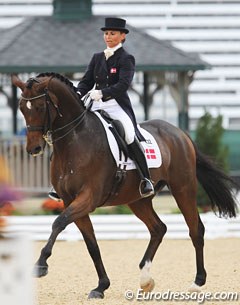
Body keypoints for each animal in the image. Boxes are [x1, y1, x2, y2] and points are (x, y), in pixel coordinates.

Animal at [12, 72, 239, 298]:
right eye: (22, 108)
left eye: (40, 107)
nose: (33, 149)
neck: (75, 140)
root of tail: (181, 133)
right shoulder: (71, 201)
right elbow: (91, 244)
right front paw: (101, 286)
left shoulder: (88, 198)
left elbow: (58, 223)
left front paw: (40, 265)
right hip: (137, 200)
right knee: (159, 228)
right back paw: (146, 279)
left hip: (183, 188)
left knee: (195, 229)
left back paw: (197, 282)